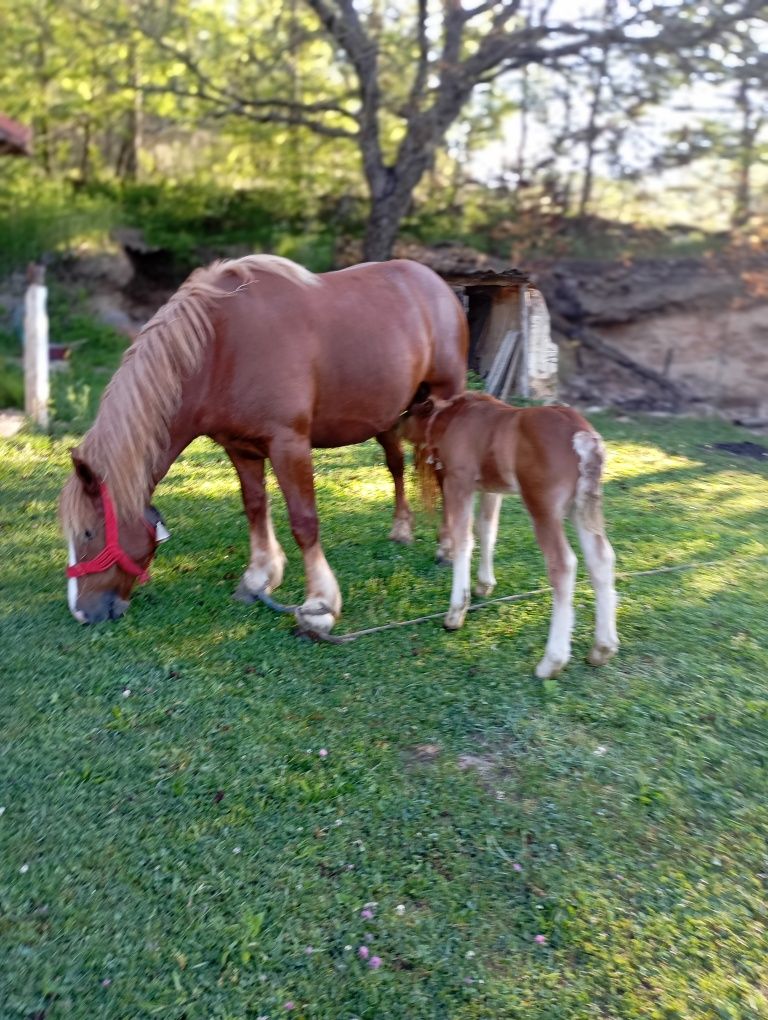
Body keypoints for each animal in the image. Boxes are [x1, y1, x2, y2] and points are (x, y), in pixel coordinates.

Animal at [414, 393, 616, 681]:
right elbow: (487, 529)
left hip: (543, 508)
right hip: (582, 508)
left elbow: (463, 538)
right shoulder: (490, 488)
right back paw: (602, 648)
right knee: (601, 559)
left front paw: (456, 612)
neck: (453, 416)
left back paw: (551, 662)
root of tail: (583, 436)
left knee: (563, 564)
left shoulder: (458, 482)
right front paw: (484, 585)